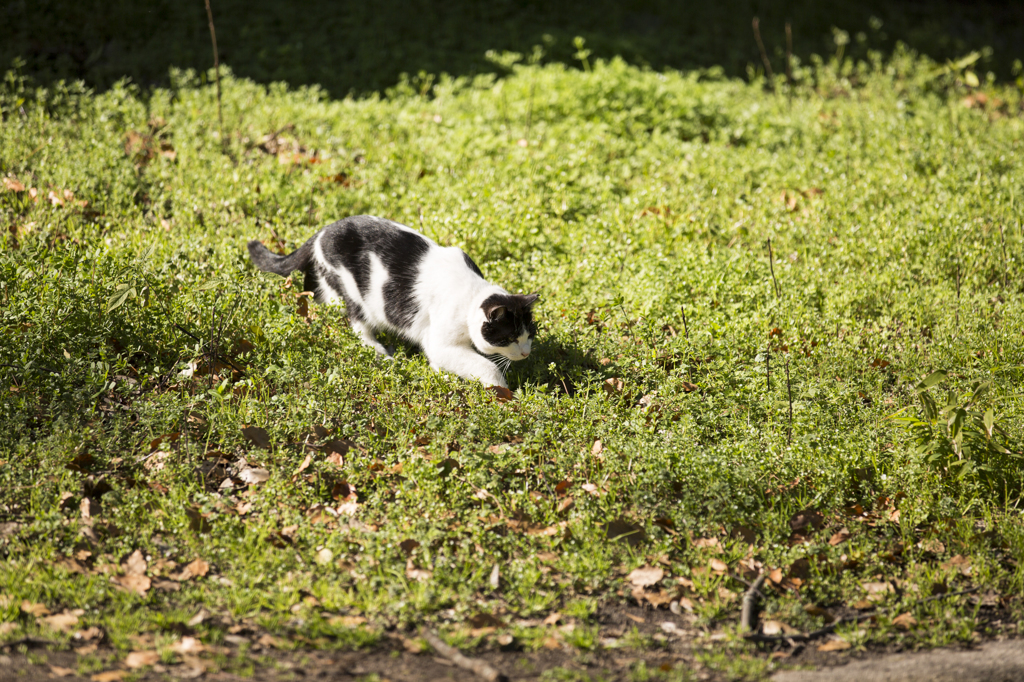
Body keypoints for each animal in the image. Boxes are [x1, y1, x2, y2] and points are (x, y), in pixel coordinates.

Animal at [248, 218, 540, 387]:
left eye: (530, 335)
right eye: (510, 338)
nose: (526, 353)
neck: (471, 294)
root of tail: (321, 232)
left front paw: (441, 375)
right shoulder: (442, 341)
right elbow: (485, 366)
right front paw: (502, 393)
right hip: (354, 293)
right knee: (358, 324)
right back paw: (378, 350)